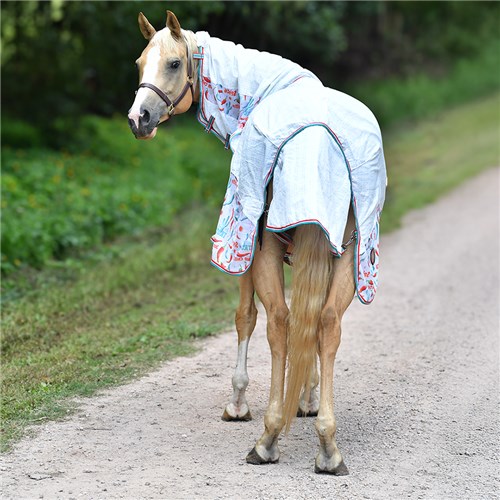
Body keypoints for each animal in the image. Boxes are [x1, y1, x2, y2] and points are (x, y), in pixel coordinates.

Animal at [128, 11, 387, 475]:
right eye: (140, 63)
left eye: (173, 63)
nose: (138, 118)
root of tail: (318, 140)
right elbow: (309, 324)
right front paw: (307, 398)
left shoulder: (246, 249)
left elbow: (246, 317)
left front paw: (238, 403)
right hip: (351, 253)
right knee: (325, 324)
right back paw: (327, 446)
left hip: (262, 247)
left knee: (279, 323)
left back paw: (267, 437)